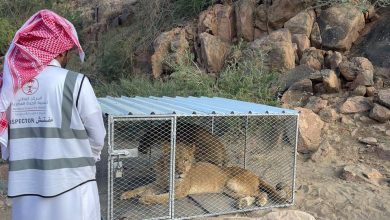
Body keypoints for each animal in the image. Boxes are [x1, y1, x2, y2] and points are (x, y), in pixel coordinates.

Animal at [120, 143, 288, 208]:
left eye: (186, 160)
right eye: (175, 159)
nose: (180, 172)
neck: (166, 171)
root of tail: (253, 172)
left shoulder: (179, 192)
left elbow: (161, 197)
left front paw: (146, 199)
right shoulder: (158, 183)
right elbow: (141, 187)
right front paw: (126, 194)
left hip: (232, 183)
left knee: (261, 192)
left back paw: (261, 201)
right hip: (228, 190)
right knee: (250, 195)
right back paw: (242, 203)